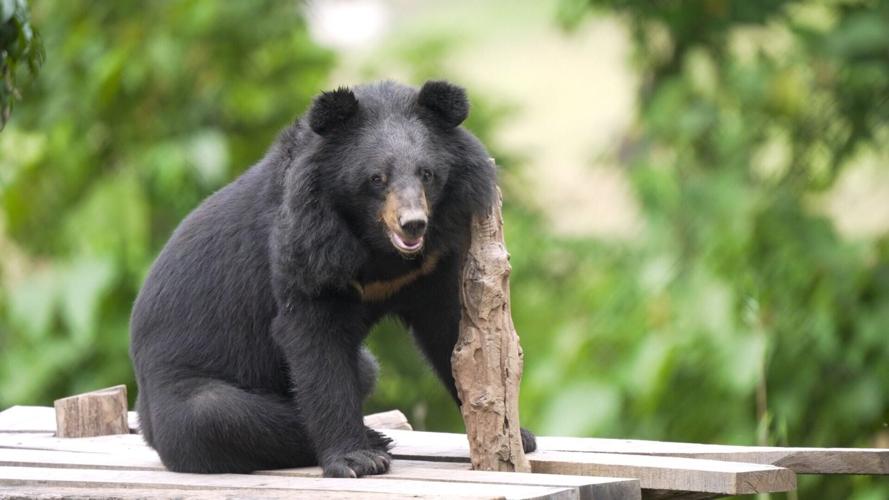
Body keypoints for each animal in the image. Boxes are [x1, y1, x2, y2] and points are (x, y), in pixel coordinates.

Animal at [129, 80, 536, 478]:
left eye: (427, 174)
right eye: (376, 178)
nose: (413, 224)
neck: (378, 247)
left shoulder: (431, 263)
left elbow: (451, 333)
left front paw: (516, 435)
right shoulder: (307, 249)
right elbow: (316, 345)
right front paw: (356, 459)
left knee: (365, 371)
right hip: (181, 391)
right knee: (213, 414)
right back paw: (376, 439)